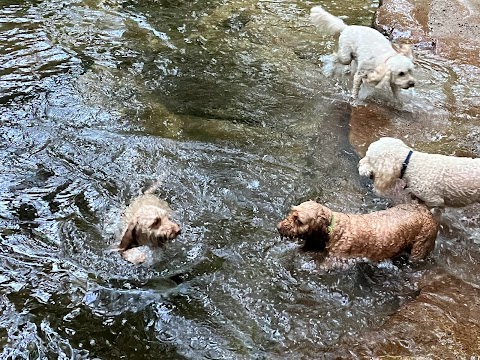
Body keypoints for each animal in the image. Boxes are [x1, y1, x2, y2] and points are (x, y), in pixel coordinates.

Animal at [278, 201, 438, 262]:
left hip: (419, 249)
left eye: (299, 220)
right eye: (292, 213)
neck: (334, 230)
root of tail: (428, 212)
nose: (279, 227)